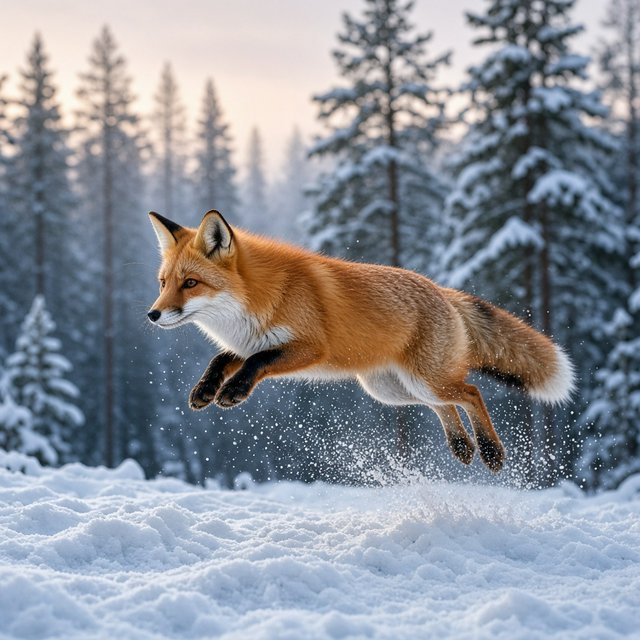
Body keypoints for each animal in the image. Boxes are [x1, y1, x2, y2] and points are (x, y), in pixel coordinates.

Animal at [147, 209, 575, 473]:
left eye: (191, 283)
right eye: (164, 283)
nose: (152, 315)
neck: (256, 299)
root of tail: (442, 290)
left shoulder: (307, 348)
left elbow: (256, 364)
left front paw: (233, 392)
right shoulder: (249, 342)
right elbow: (221, 360)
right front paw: (205, 390)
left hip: (423, 380)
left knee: (471, 392)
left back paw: (490, 451)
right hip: (394, 390)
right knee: (446, 405)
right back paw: (462, 447)